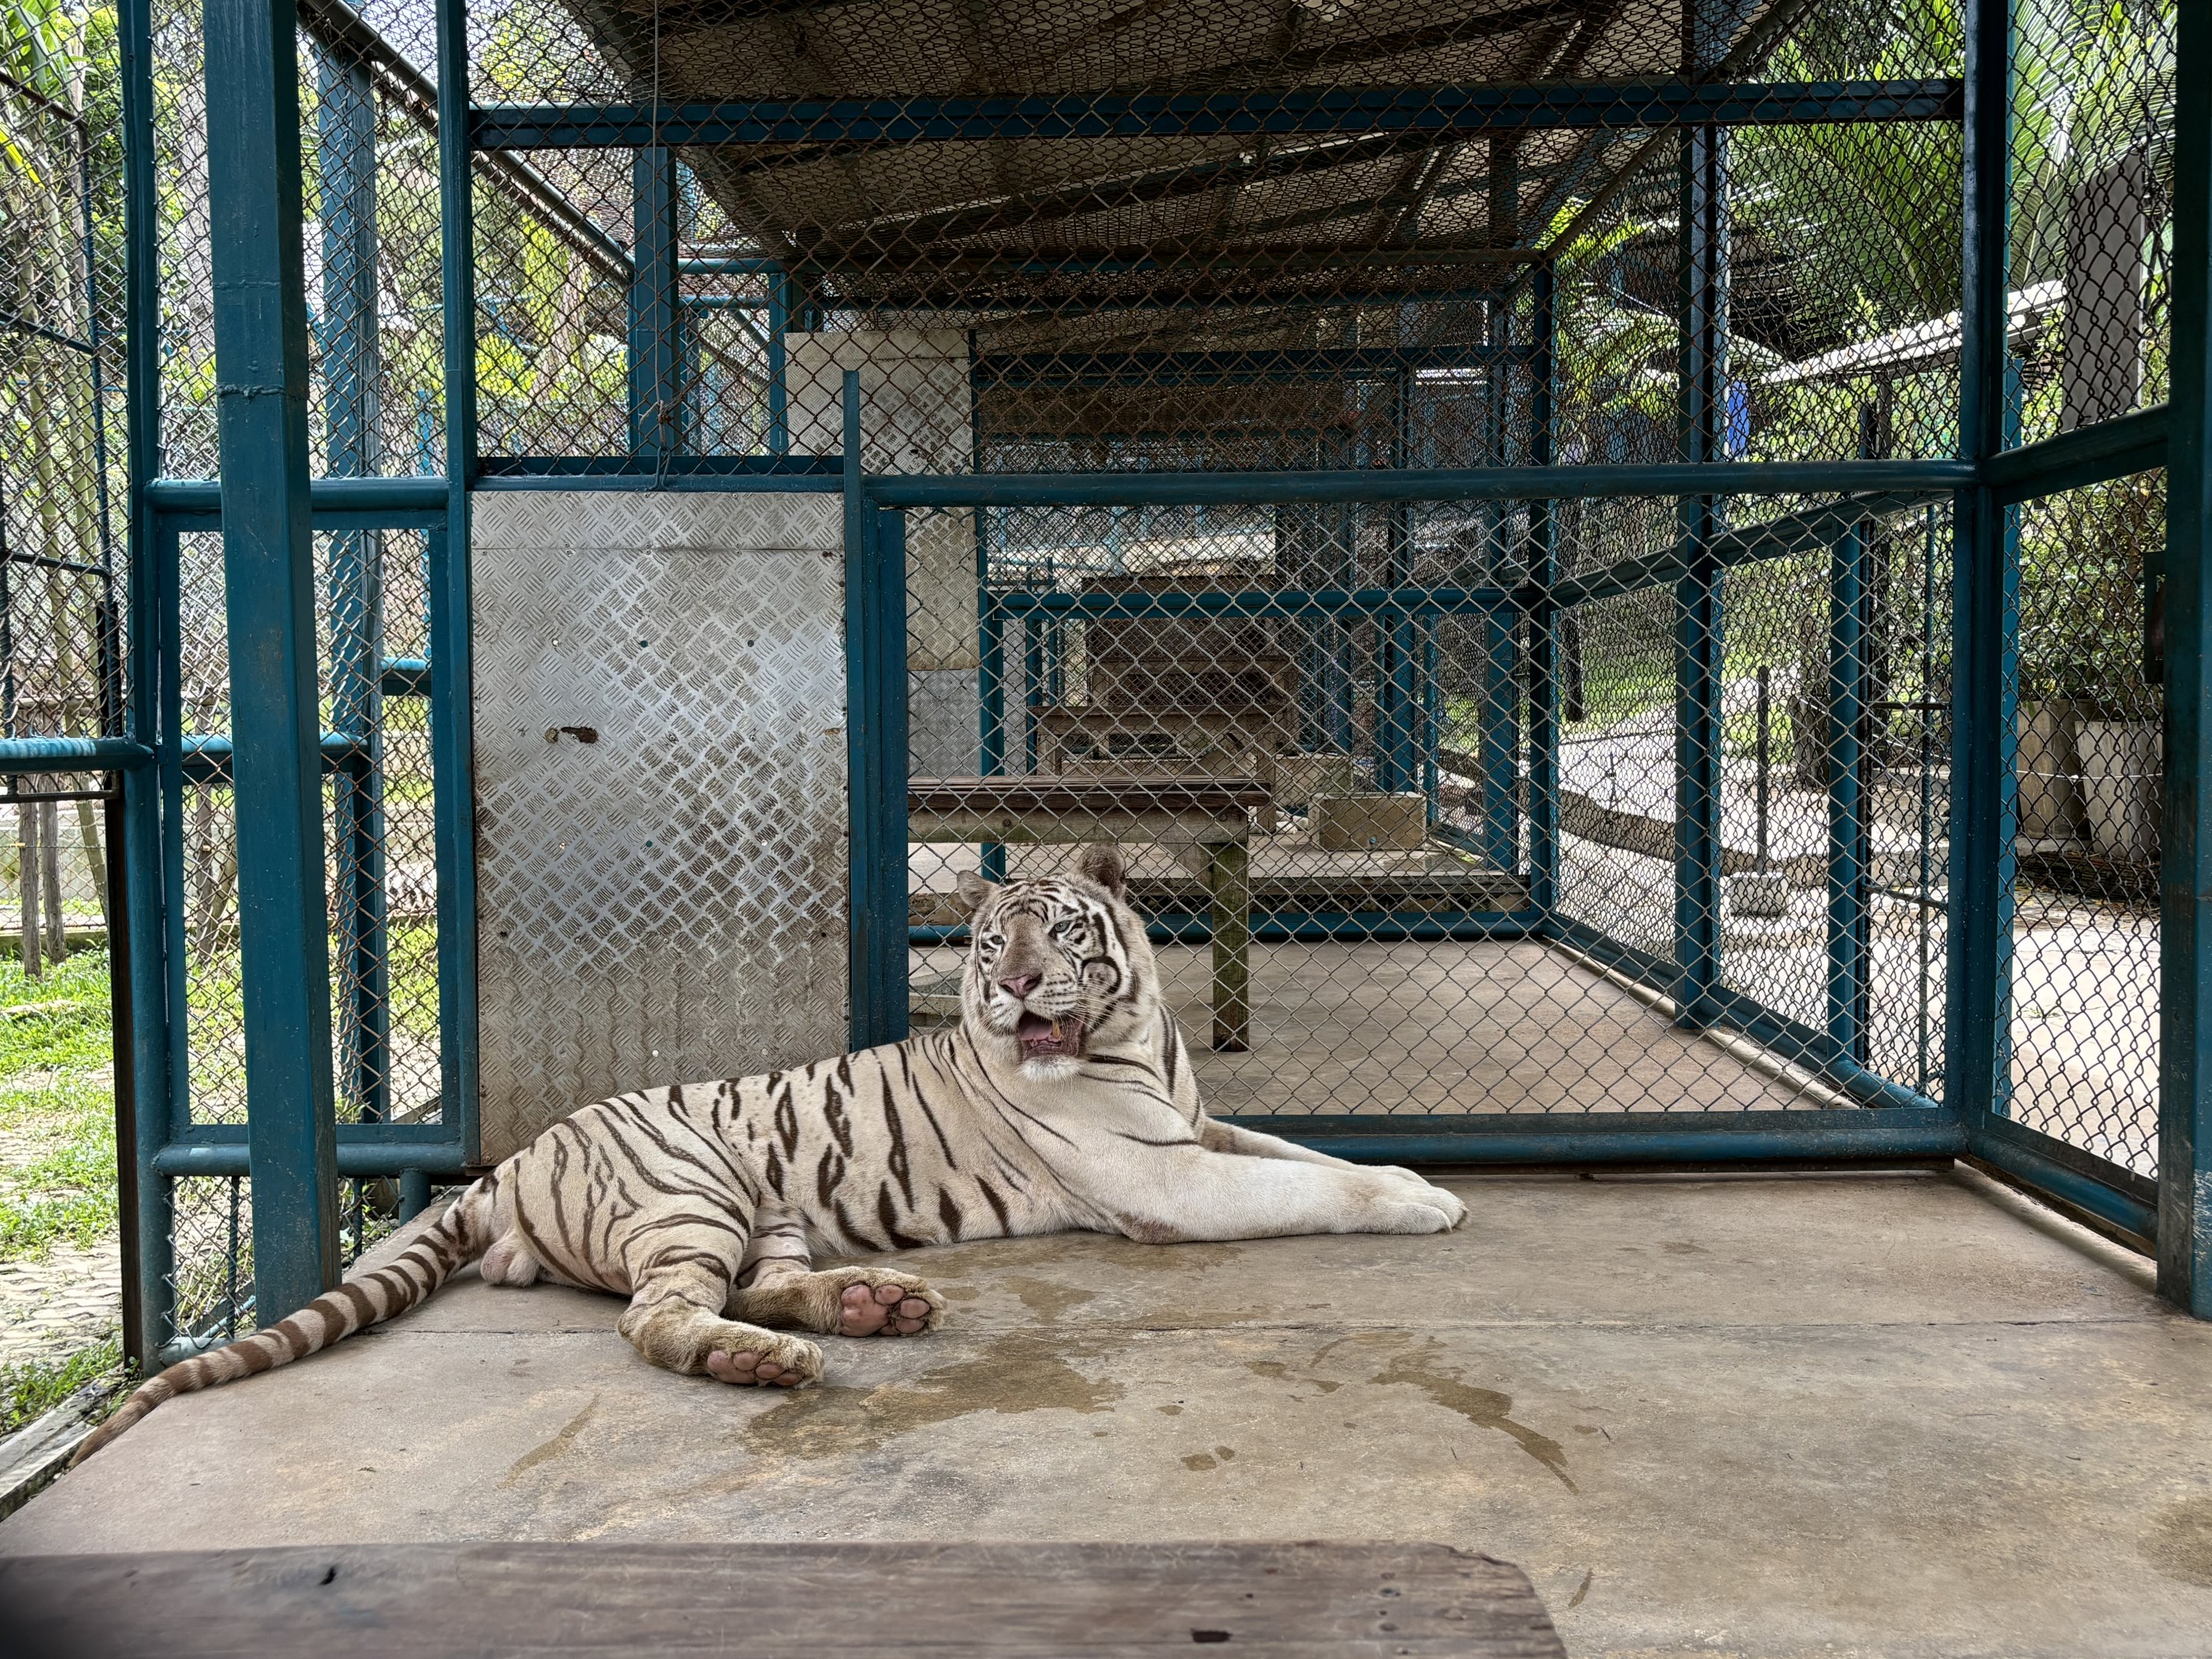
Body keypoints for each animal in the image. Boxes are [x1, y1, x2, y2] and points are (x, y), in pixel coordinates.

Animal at [76, 843, 1466, 1463]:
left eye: (1062, 935)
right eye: (988, 946)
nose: (1013, 990)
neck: (1133, 1037)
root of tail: (511, 1164)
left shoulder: (1191, 1127)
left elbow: (1291, 1148)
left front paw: (1412, 1177)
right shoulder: (1163, 1172)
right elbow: (1304, 1183)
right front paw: (1426, 1202)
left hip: (770, 1209)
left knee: (748, 1284)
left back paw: (869, 1306)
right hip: (688, 1186)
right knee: (659, 1318)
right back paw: (770, 1361)